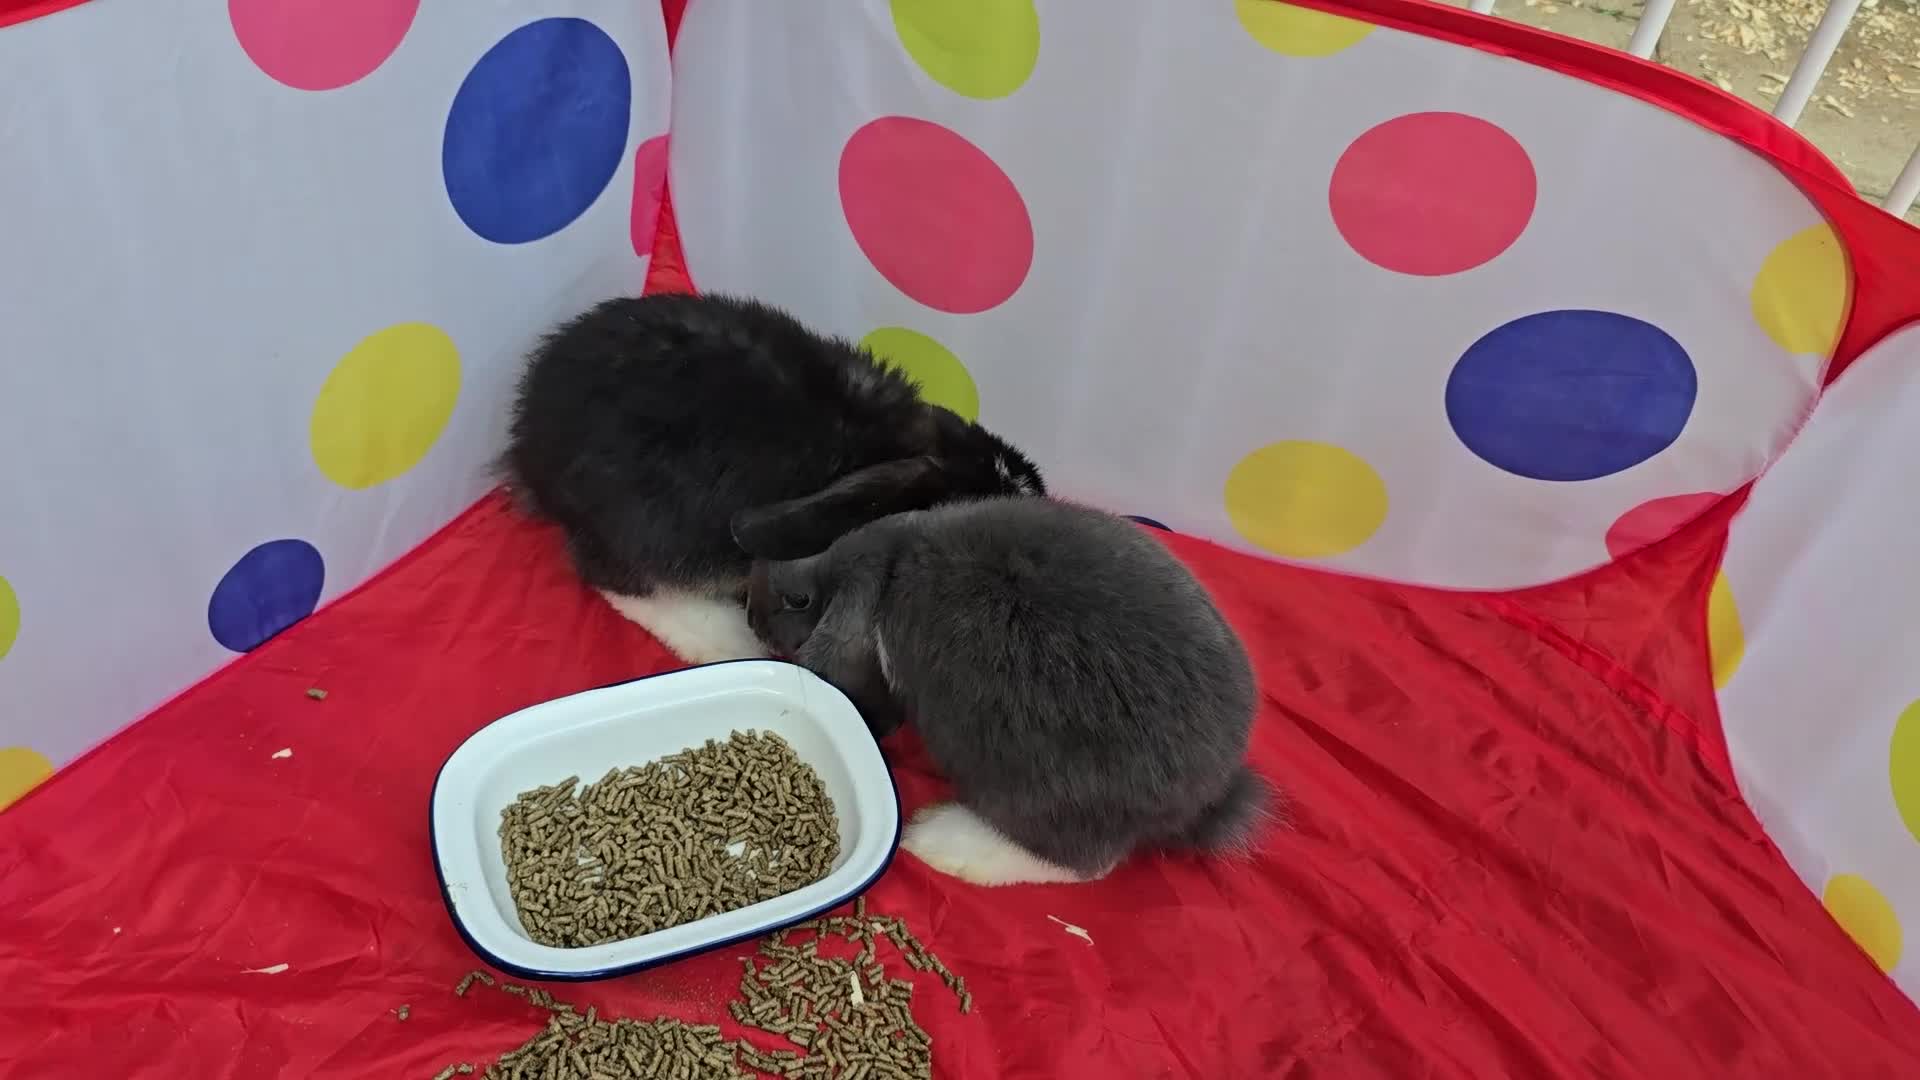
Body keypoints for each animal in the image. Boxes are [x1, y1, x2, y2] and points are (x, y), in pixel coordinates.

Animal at [741, 496, 1271, 887]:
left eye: (798, 600)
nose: (748, 611)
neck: (890, 565)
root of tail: (1209, 796)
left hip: (1036, 797)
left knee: (1081, 864)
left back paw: (939, 844)